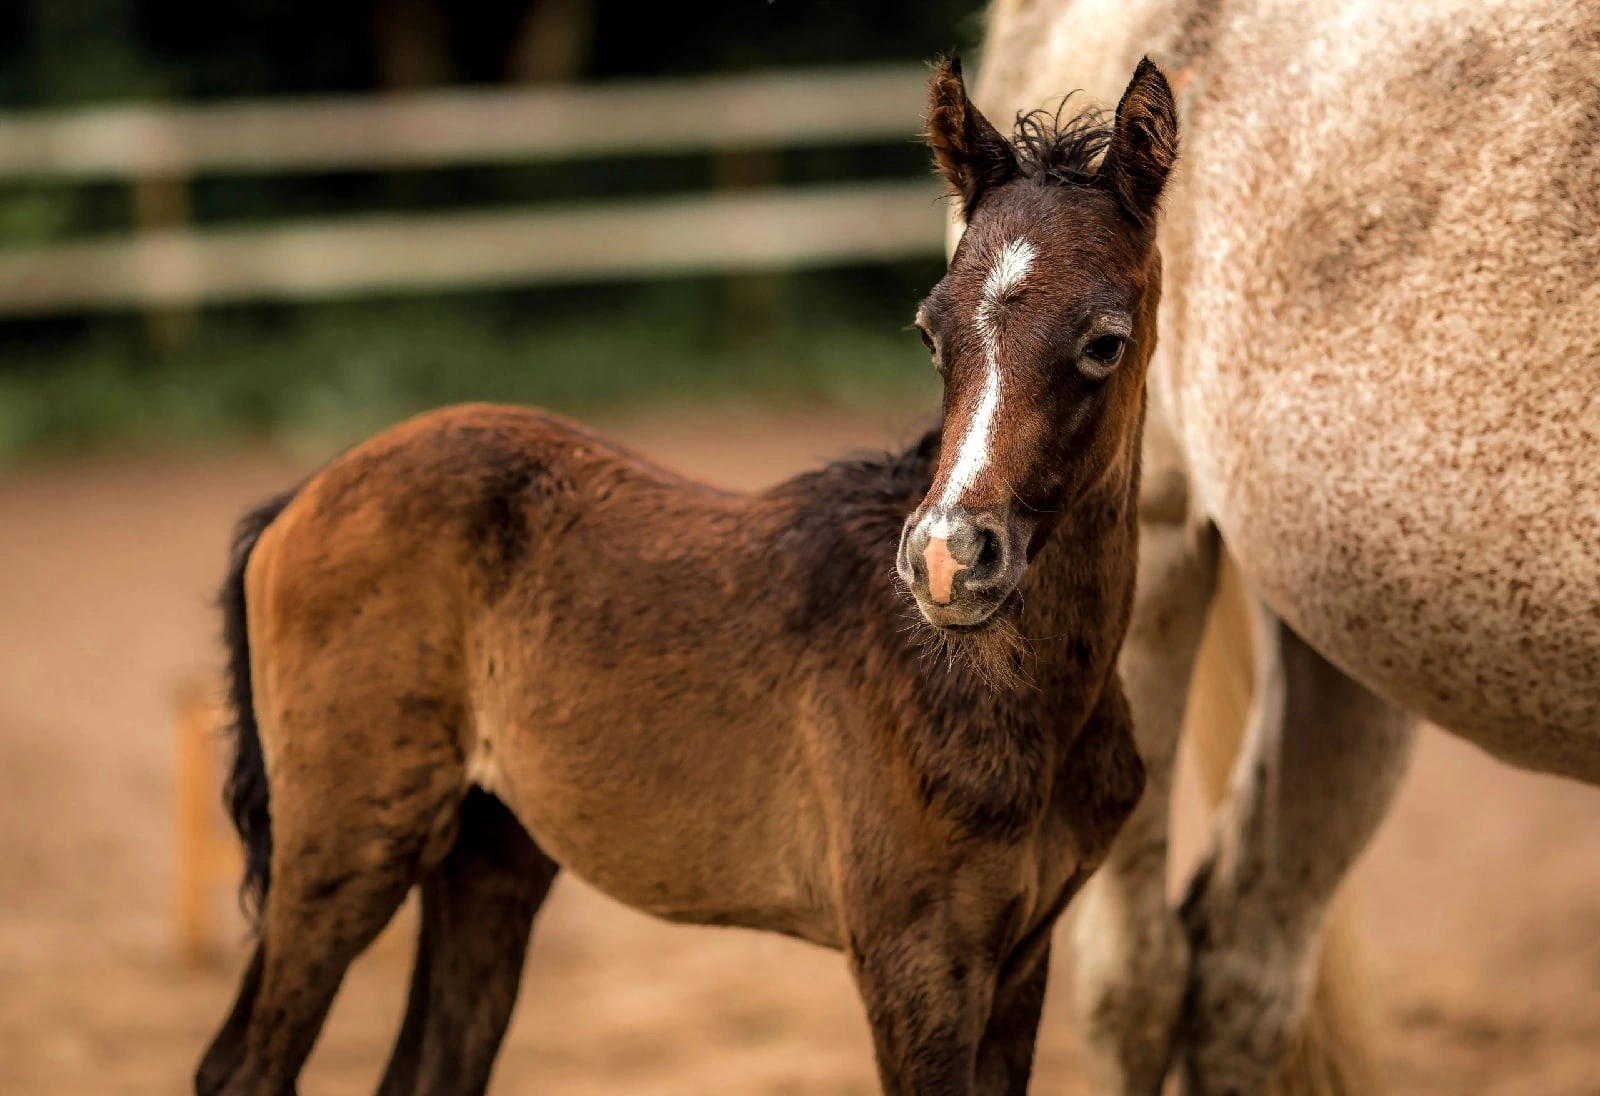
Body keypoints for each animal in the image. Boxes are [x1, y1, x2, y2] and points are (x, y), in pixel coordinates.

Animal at [196, 57, 1177, 1094]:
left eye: (1104, 341)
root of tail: (303, 495)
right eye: (930, 333)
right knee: (247, 1067)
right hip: (345, 848)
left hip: (486, 854)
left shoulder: (1021, 957)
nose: (948, 560)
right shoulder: (915, 962)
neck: (1005, 693)